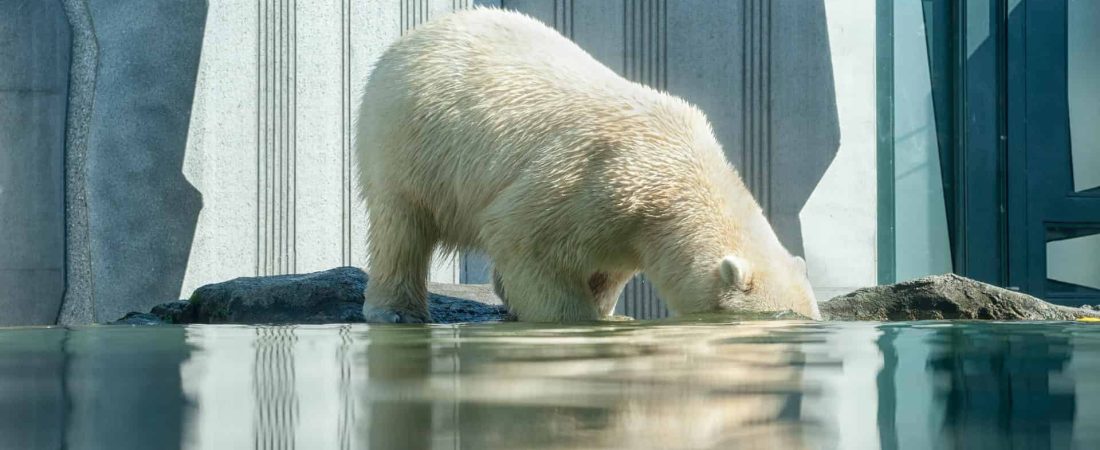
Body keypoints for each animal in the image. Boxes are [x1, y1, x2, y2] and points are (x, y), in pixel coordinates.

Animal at [356, 7, 822, 323]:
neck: (678, 175)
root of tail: (416, 34)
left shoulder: (628, 226)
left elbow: (607, 268)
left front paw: (604, 311)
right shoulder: (595, 179)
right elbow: (523, 237)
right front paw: (575, 318)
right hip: (409, 141)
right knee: (401, 224)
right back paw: (397, 311)